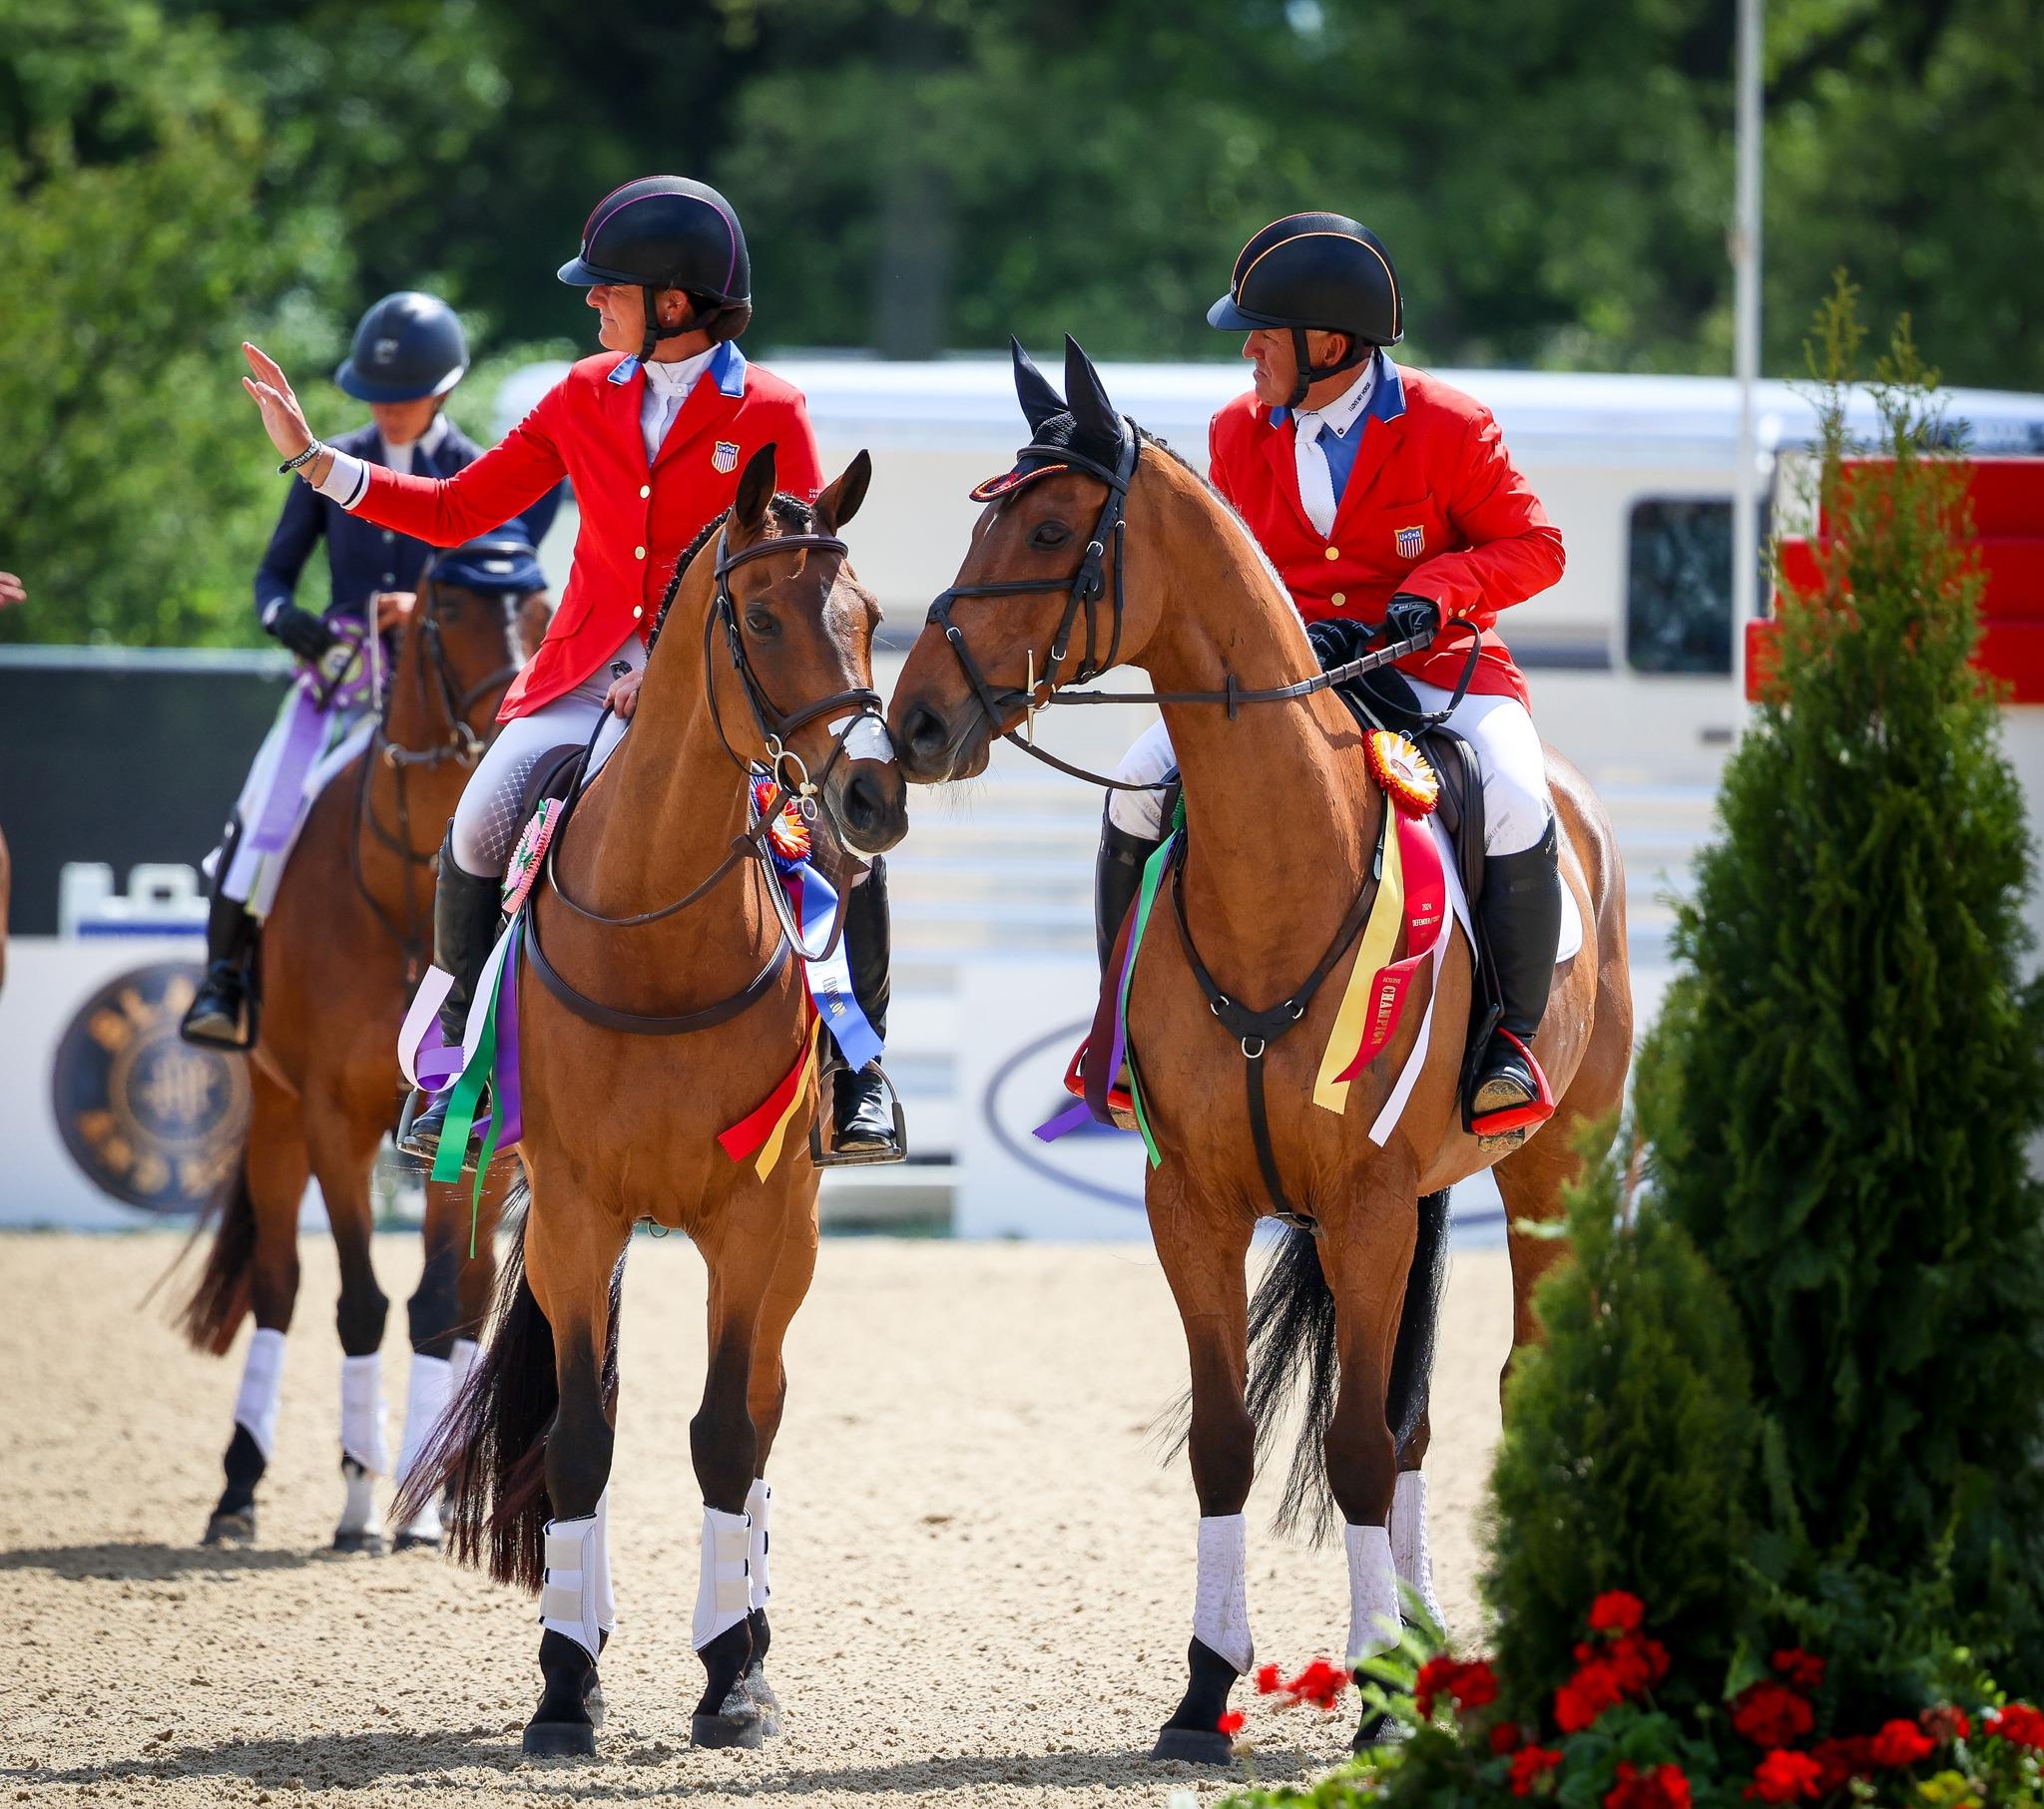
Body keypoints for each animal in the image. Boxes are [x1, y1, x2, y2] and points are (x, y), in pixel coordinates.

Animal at [176, 556, 547, 1553]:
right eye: (446, 605)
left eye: (542, 603)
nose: (520, 717)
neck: (413, 892)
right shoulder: (332, 1118)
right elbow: (358, 1302)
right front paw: (357, 1492)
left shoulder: (465, 1128)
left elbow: (439, 1303)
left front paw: (417, 1499)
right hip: (273, 1116)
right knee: (278, 1287)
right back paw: (238, 1487)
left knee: (469, 1290)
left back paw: (449, 1480)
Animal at [400, 445, 911, 1757]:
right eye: (764, 617)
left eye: (869, 615)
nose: (872, 797)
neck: (660, 930)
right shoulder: (576, 1215)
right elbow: (582, 1437)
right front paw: (564, 1686)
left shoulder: (757, 1219)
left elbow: (728, 1436)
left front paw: (731, 1677)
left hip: (791, 1244)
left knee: (763, 1417)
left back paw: (750, 1639)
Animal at [886, 339, 1635, 1749]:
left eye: (1052, 528)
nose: (911, 726)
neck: (1278, 865)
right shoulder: (1194, 1204)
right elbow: (1229, 1439)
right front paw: (1203, 1687)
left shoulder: (1365, 1204)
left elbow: (1351, 1449)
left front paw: (1376, 1698)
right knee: (1412, 1419)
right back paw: (1425, 1641)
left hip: (1546, 1166)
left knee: (1511, 1385)